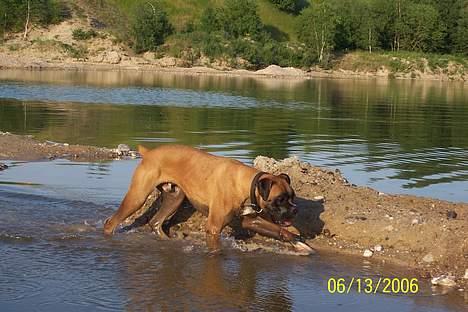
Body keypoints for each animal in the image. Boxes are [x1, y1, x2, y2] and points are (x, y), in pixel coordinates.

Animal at [104, 144, 312, 254]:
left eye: (292, 197)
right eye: (280, 199)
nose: (295, 209)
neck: (244, 184)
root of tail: (149, 152)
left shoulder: (251, 221)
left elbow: (280, 231)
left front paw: (300, 243)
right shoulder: (213, 227)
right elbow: (216, 248)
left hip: (175, 197)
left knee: (155, 222)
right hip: (137, 198)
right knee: (111, 222)